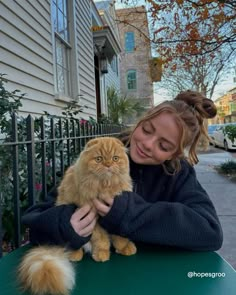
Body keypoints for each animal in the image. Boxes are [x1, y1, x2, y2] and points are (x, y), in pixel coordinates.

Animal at [18, 138, 136, 295]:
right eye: (99, 159)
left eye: (115, 158)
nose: (108, 165)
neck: (104, 186)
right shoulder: (93, 218)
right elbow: (102, 240)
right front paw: (102, 254)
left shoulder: (114, 214)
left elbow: (119, 236)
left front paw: (124, 248)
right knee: (75, 244)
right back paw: (75, 255)